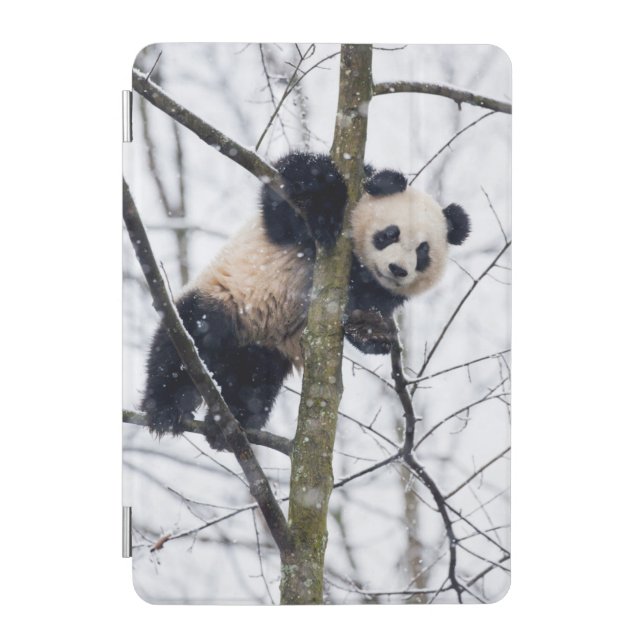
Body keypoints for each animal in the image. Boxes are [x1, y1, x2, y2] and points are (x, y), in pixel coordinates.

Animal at [141, 152, 470, 449]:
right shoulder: (291, 223)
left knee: (254, 383)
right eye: (390, 234)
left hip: (266, 350)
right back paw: (165, 409)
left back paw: (228, 425)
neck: (358, 265)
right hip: (226, 299)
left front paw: (372, 331)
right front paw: (326, 210)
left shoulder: (377, 291)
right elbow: (291, 186)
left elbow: (364, 310)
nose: (398, 269)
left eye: (423, 251)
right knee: (185, 341)